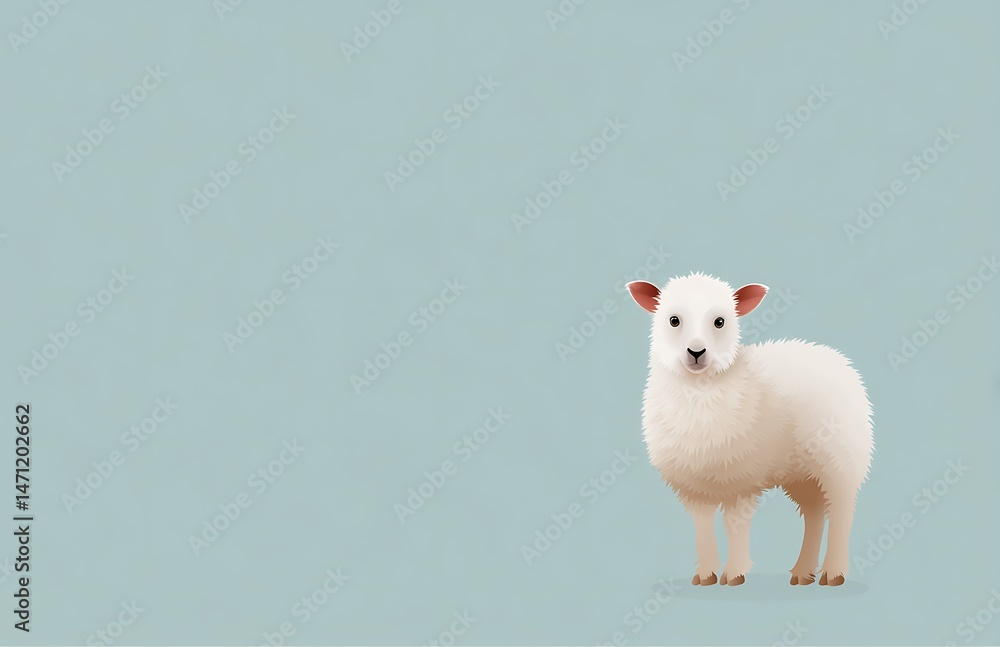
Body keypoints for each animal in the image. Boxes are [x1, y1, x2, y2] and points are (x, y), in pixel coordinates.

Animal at [627, 272, 873, 587]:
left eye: (720, 321)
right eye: (673, 320)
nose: (696, 352)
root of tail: (835, 357)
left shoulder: (740, 479)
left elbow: (734, 524)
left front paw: (734, 573)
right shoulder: (693, 484)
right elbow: (702, 526)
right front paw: (705, 575)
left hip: (839, 460)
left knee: (841, 512)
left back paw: (833, 572)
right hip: (801, 473)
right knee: (815, 515)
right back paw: (803, 572)